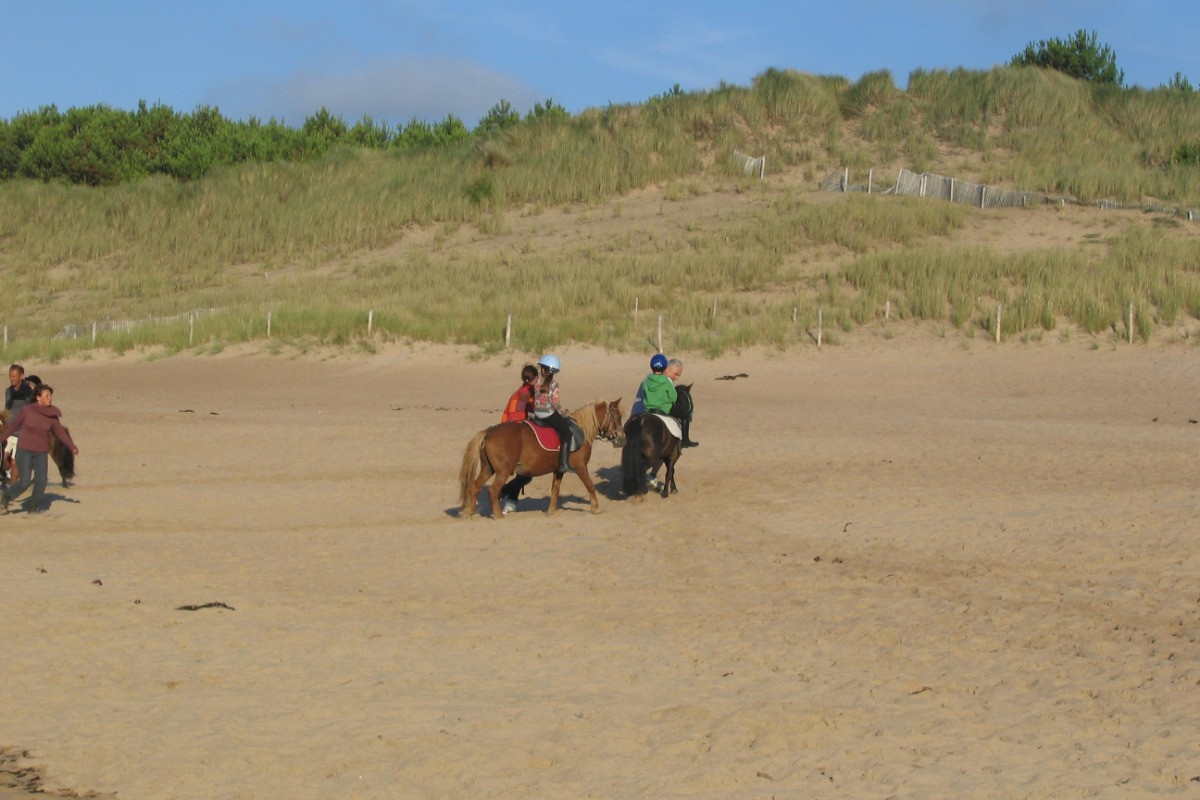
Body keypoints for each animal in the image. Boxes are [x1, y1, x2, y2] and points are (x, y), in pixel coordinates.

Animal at [458, 398, 625, 518]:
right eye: (618, 417)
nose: (623, 439)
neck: (580, 430)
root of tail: (488, 432)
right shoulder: (580, 467)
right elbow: (590, 485)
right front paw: (596, 508)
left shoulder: (559, 470)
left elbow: (555, 490)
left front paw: (551, 511)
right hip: (502, 472)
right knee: (493, 490)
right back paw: (498, 515)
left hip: (488, 469)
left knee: (475, 486)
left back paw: (470, 512)